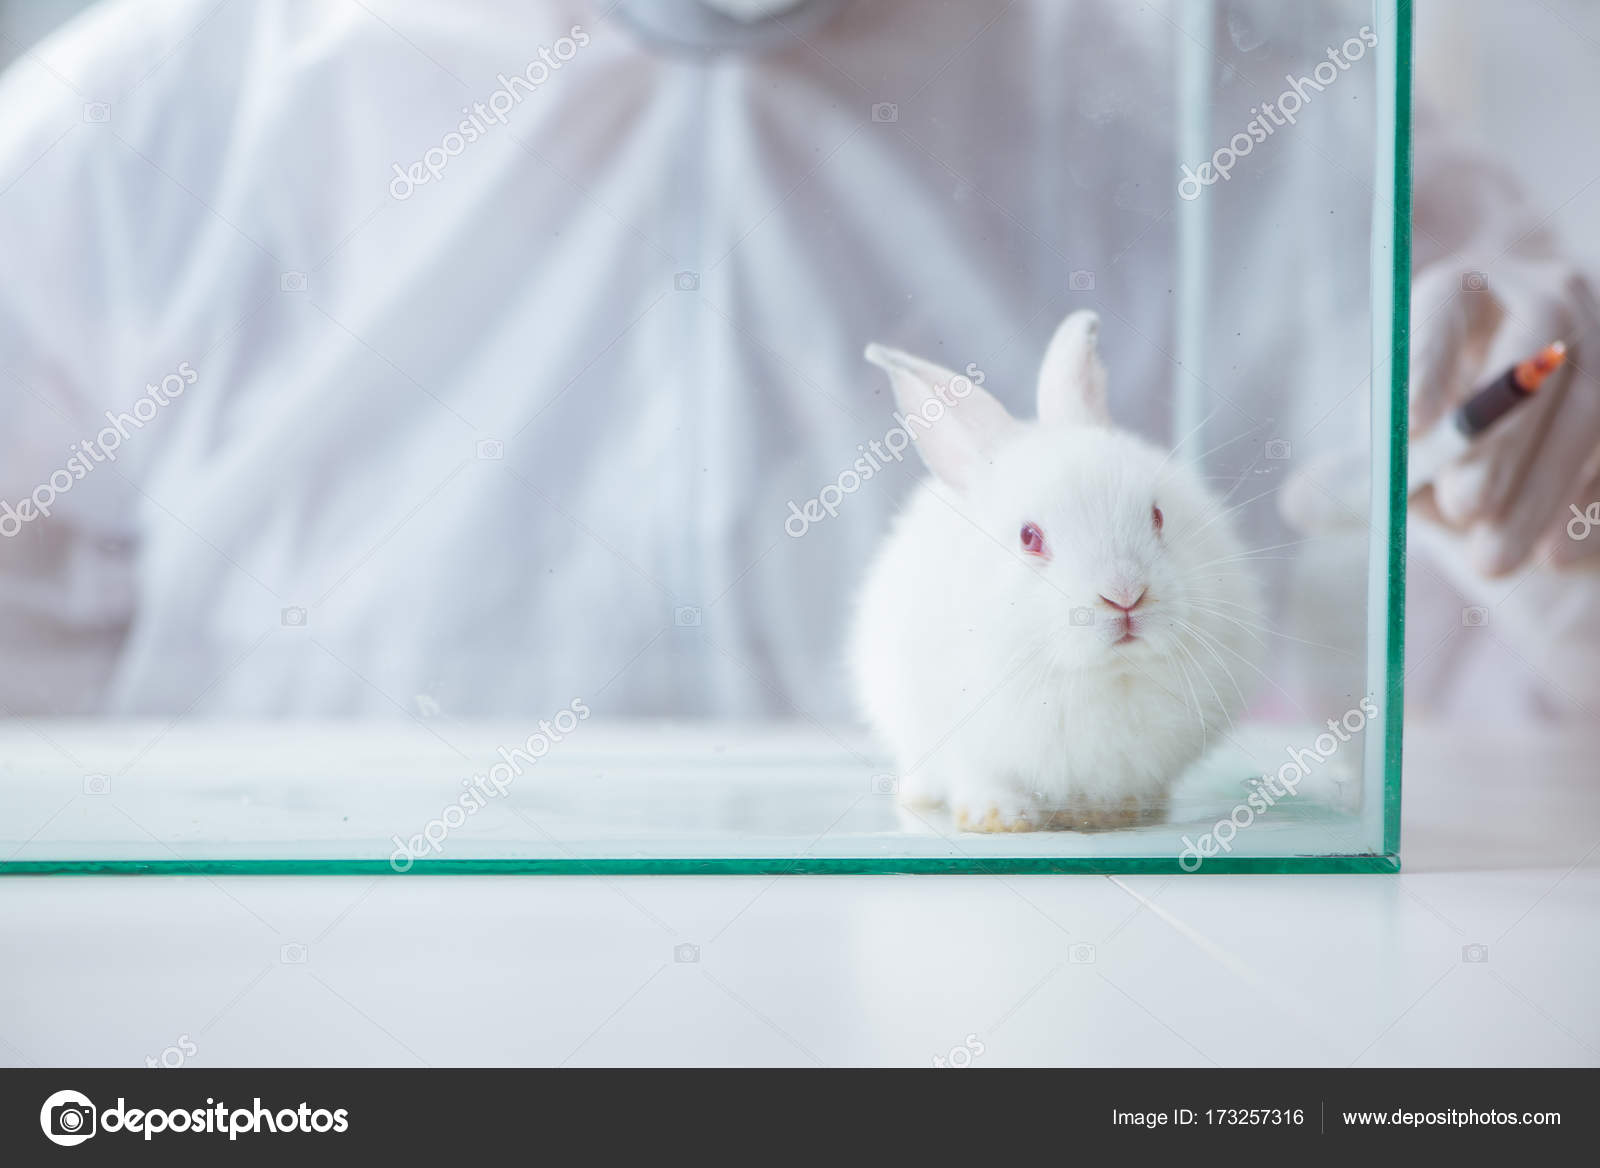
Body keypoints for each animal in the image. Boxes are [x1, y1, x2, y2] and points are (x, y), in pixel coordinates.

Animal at [849, 310, 1262, 833]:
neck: (1098, 675)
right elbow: (983, 778)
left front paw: (1115, 813)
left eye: (1157, 515)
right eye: (1029, 537)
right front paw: (999, 819)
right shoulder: (961, 738)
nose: (1124, 595)